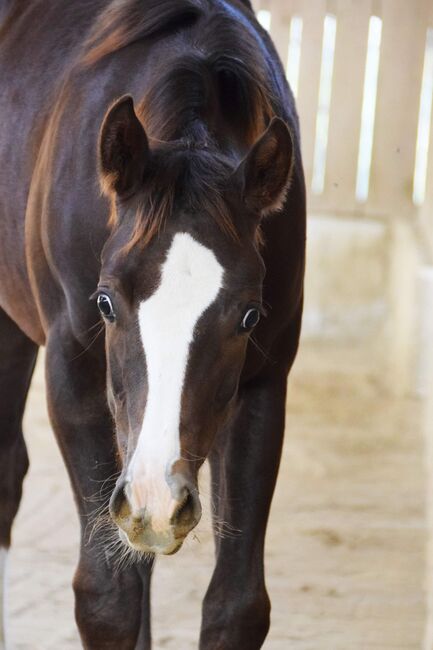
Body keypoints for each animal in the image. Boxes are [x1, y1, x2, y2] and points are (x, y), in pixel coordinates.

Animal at [0, 0, 304, 644]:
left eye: (248, 316)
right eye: (105, 304)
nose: (160, 501)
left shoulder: (265, 384)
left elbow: (236, 605)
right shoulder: (75, 374)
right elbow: (107, 596)